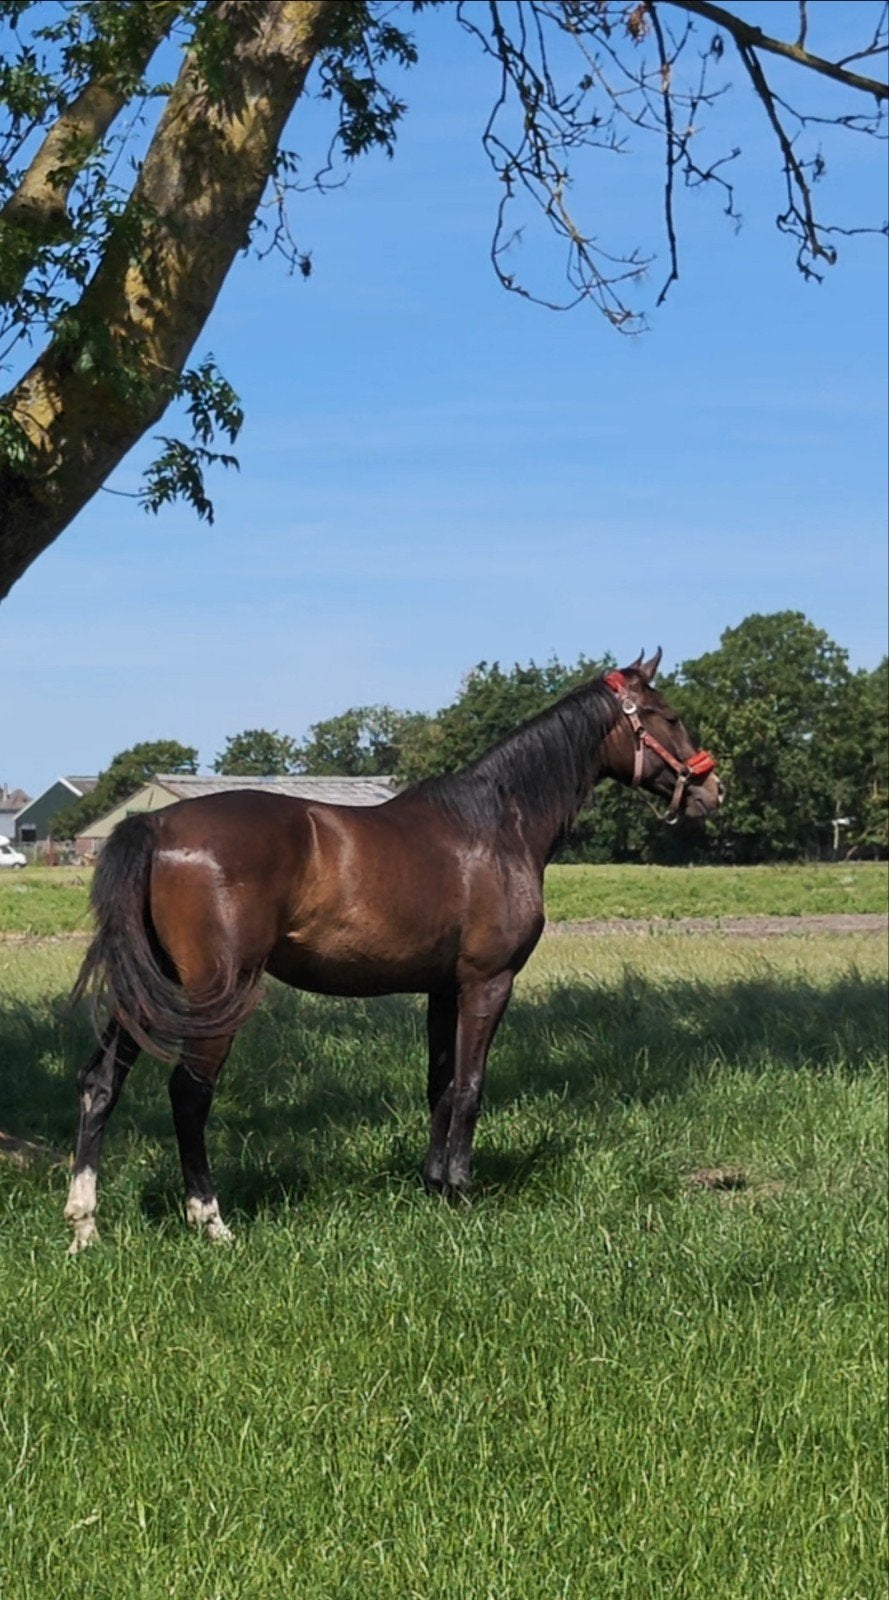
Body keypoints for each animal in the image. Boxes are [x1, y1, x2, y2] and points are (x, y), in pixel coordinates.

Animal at [64, 650, 723, 1251]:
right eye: (669, 716)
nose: (712, 788)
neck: (496, 825)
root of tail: (157, 826)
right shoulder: (489, 982)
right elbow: (470, 1085)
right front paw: (461, 1190)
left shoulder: (442, 989)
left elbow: (440, 1085)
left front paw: (434, 1185)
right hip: (218, 992)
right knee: (189, 1092)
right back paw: (210, 1220)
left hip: (150, 986)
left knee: (102, 1081)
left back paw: (84, 1226)